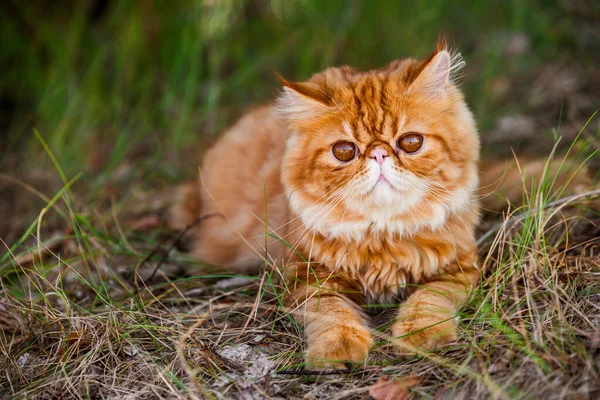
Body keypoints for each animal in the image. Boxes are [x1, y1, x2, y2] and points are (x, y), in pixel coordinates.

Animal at [171, 39, 480, 370]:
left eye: (410, 143)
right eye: (344, 151)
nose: (379, 155)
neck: (381, 235)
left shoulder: (459, 267)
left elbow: (429, 300)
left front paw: (422, 337)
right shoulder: (307, 277)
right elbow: (333, 314)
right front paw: (337, 350)